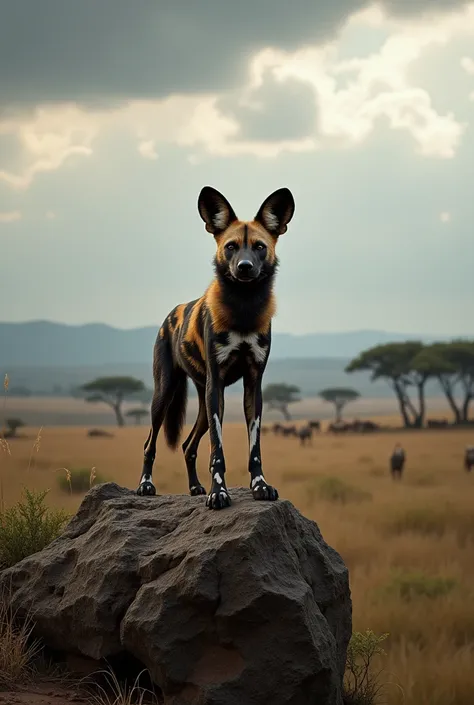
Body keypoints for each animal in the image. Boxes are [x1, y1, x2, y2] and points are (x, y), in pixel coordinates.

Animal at [136, 184, 296, 508]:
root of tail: (170, 315)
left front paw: (260, 486)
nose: (244, 267)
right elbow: (217, 452)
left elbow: (254, 450)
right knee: (149, 443)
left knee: (188, 445)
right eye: (231, 247)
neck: (244, 308)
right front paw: (218, 493)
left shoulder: (253, 385)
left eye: (260, 247)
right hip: (167, 394)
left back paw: (194, 487)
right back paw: (146, 485)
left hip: (203, 402)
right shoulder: (216, 385)